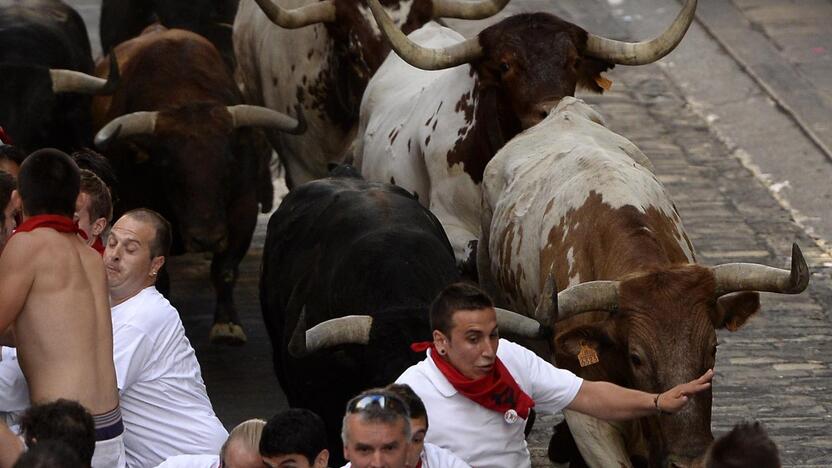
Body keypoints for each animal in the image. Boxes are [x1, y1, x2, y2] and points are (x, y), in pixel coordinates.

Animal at [92, 27, 306, 346]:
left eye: (228, 164)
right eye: (167, 168)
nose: (206, 239)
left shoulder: (243, 207)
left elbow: (225, 268)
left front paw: (227, 325)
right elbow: (160, 275)